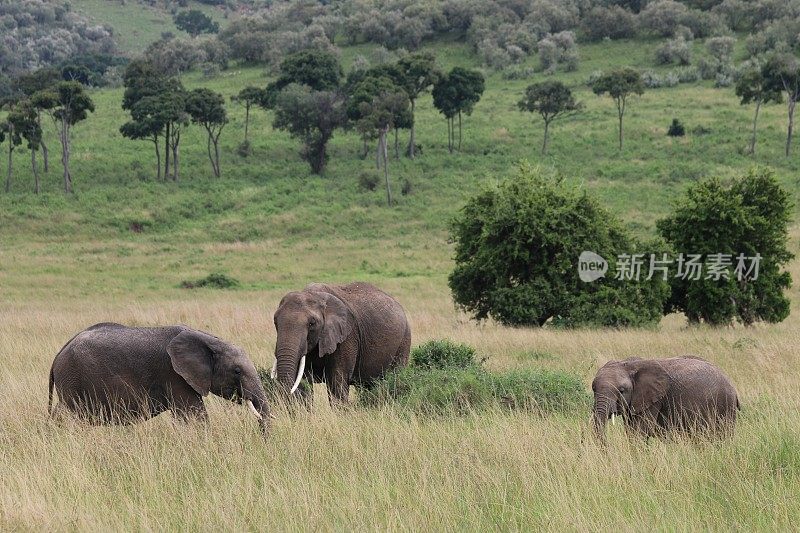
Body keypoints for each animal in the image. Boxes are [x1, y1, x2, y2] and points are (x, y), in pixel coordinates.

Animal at [48, 322, 270, 434]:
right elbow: (195, 417)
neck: (207, 339)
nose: (261, 439)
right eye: (237, 371)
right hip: (73, 379)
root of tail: (58, 355)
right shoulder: (174, 375)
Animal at [274, 280, 412, 406]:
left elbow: (337, 380)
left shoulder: (347, 336)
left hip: (404, 341)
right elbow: (303, 381)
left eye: (312, 323)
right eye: (275, 322)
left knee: (395, 377)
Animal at [592, 356, 740, 438]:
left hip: (724, 407)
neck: (630, 364)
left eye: (622, 390)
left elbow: (639, 432)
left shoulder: (654, 400)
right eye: (593, 389)